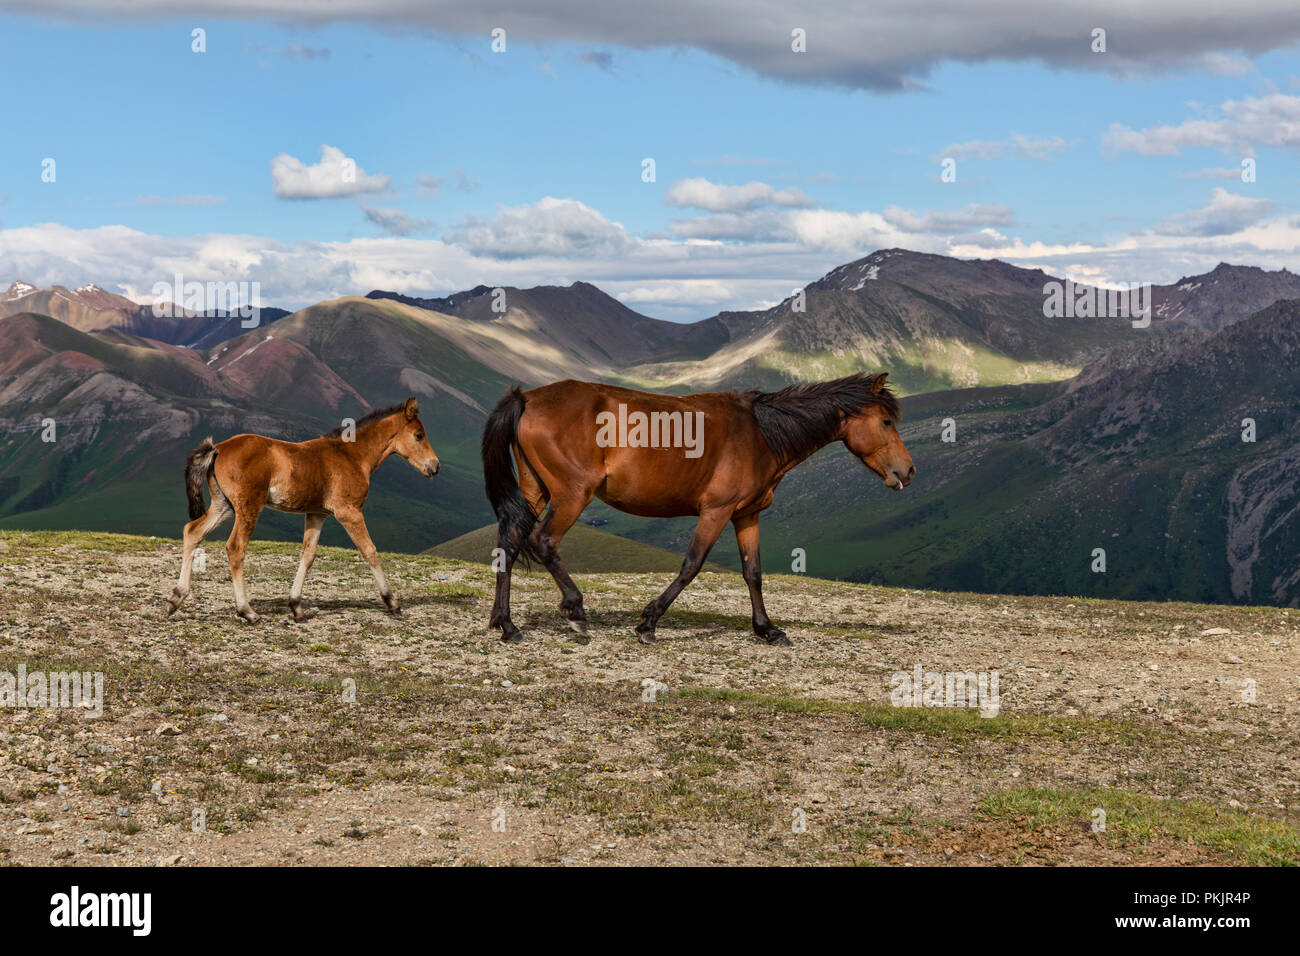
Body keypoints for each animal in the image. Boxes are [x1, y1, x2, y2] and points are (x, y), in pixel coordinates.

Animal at [166, 395, 441, 621]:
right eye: (418, 435)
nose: (435, 466)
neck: (352, 455)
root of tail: (217, 448)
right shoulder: (349, 512)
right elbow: (369, 551)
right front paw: (392, 603)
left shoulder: (317, 514)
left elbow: (308, 555)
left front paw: (296, 606)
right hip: (248, 506)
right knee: (235, 547)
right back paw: (247, 611)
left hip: (224, 506)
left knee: (193, 531)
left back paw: (176, 598)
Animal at [478, 369, 915, 647]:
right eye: (886, 421)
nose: (907, 471)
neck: (761, 433)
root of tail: (527, 398)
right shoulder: (716, 511)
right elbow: (691, 565)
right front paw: (648, 622)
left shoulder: (746, 515)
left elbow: (753, 573)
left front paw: (767, 629)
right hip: (572, 494)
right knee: (543, 541)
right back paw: (574, 608)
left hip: (536, 490)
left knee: (510, 543)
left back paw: (506, 624)